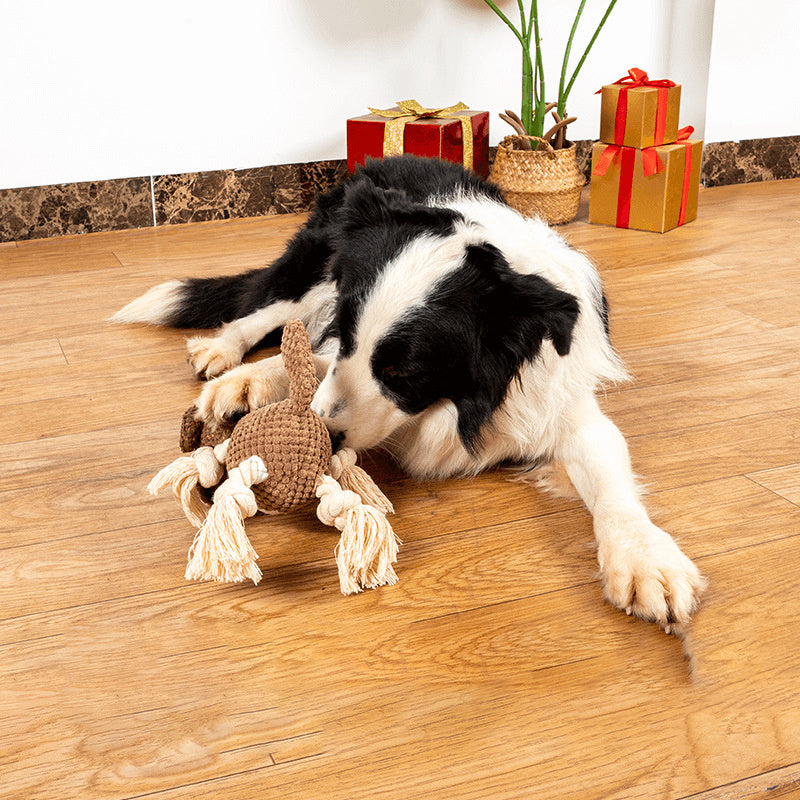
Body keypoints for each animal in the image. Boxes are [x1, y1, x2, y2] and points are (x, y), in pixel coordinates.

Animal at [114, 156, 708, 632]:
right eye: (351, 334)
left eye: (404, 371)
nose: (321, 438)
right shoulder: (336, 321)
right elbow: (310, 358)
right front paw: (245, 385)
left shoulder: (564, 402)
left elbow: (610, 475)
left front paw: (645, 559)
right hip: (317, 267)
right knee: (266, 308)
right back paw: (223, 355)